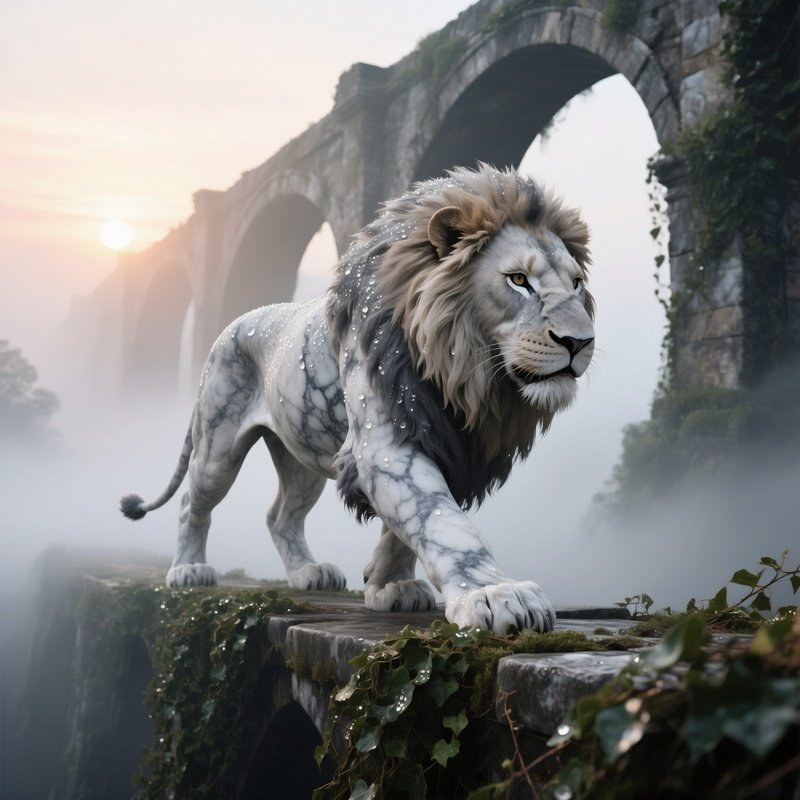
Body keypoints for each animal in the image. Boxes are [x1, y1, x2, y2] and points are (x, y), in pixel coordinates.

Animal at [121, 164, 595, 634]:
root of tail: (234, 325)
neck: (458, 375)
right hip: (218, 441)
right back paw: (188, 570)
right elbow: (441, 519)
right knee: (192, 502)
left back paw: (308, 573)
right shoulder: (385, 440)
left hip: (300, 454)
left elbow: (405, 524)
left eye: (576, 284)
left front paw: (388, 585)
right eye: (518, 280)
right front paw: (494, 594)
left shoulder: (443, 437)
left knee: (280, 515)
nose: (580, 342)